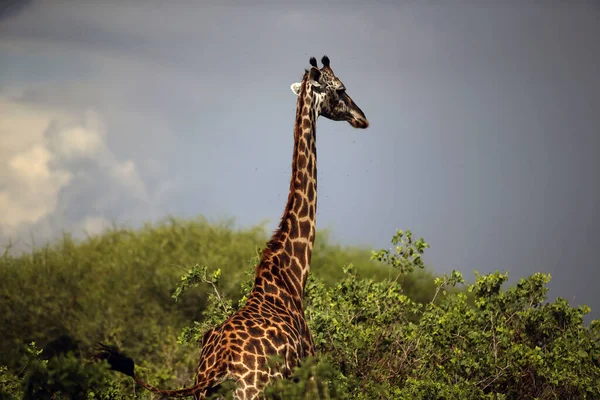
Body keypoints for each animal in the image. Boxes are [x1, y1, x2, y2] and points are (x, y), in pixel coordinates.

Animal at [96, 55, 368, 400]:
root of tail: (218, 368)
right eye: (341, 88)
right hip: (256, 392)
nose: (362, 118)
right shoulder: (309, 375)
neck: (291, 278)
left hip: (205, 395)